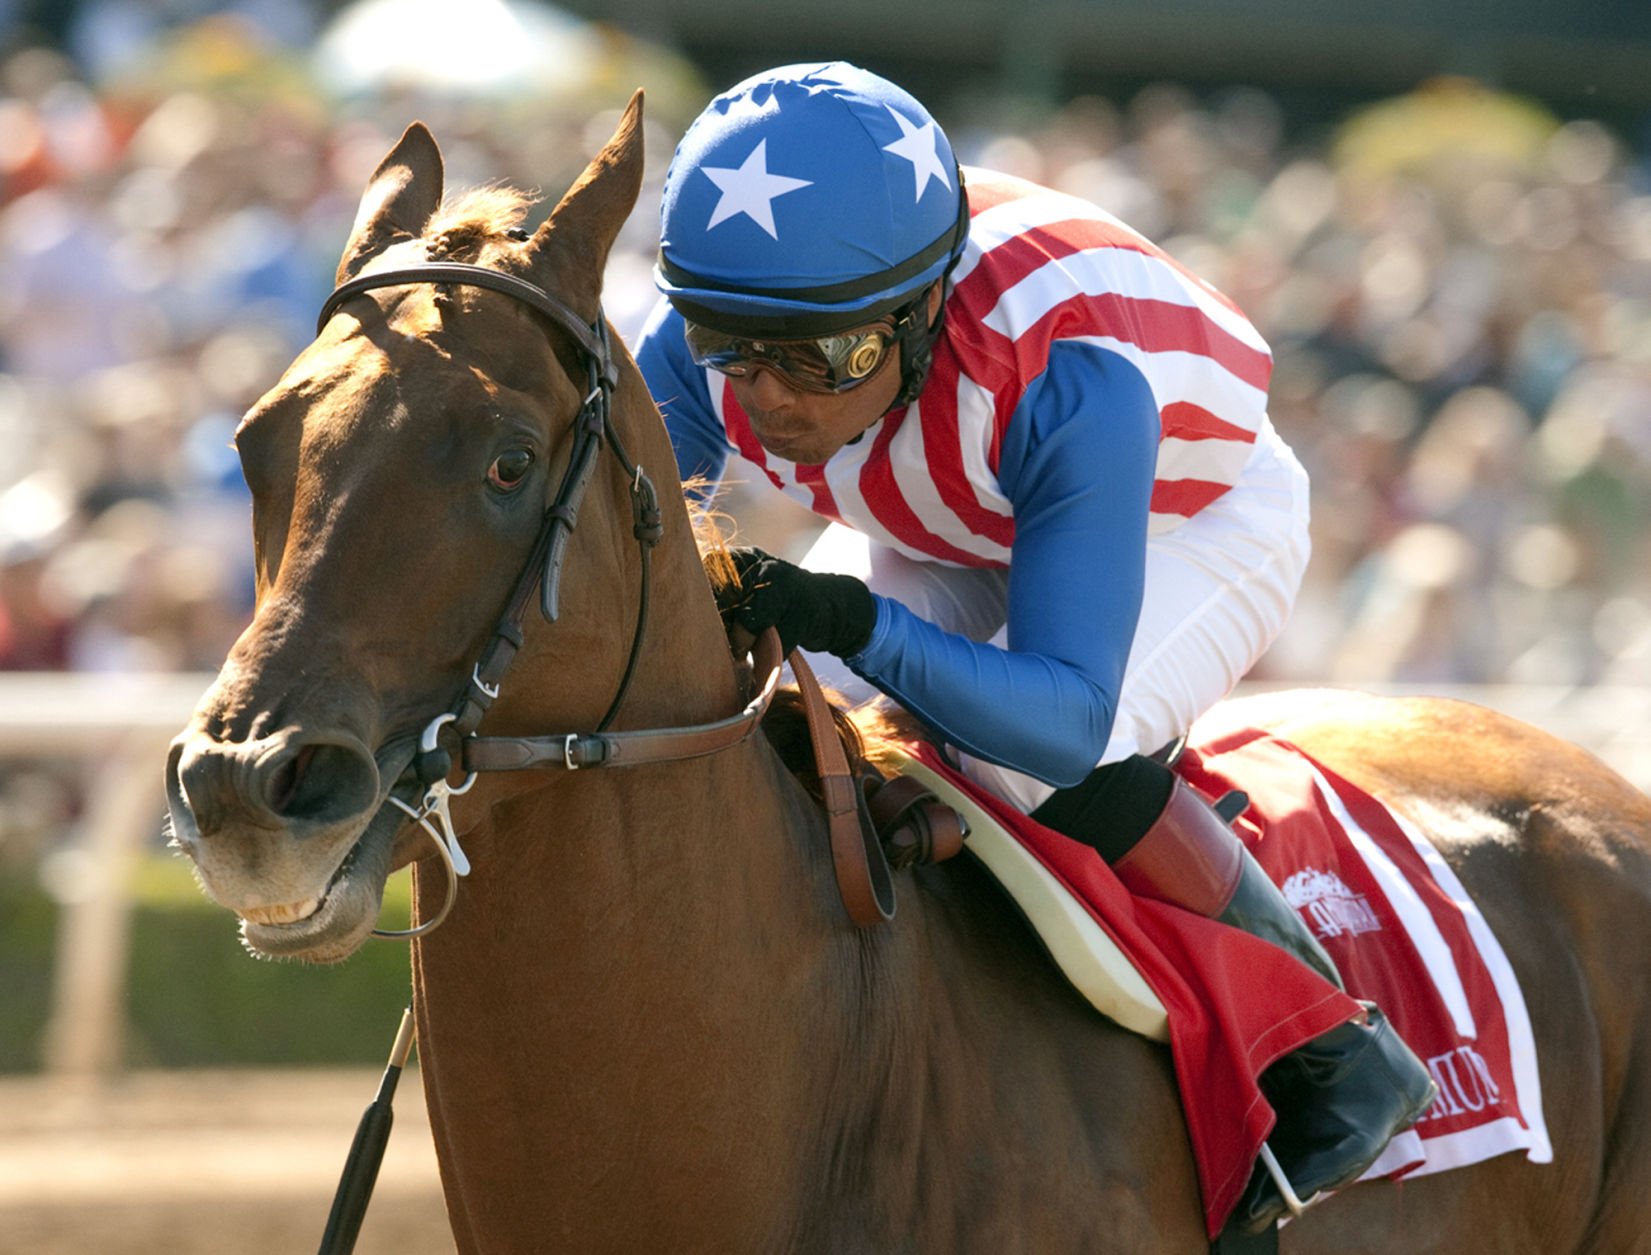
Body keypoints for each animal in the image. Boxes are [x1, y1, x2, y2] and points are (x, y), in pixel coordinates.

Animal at [164, 100, 1651, 1255]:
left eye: (508, 459)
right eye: (251, 441)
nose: (246, 788)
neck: (842, 1061)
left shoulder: (1091, 406)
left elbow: (1070, 718)